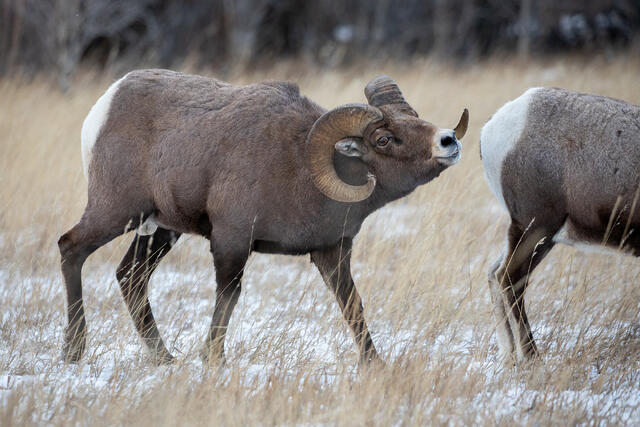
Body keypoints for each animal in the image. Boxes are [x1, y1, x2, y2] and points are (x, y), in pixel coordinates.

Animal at [58, 70, 469, 365]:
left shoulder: (332, 252)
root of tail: (103, 109)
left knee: (131, 278)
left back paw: (165, 359)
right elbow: (228, 298)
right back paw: (74, 351)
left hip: (159, 230)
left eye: (414, 117)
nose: (448, 141)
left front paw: (374, 365)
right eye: (384, 140)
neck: (299, 168)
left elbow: (352, 304)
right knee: (71, 248)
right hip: (116, 212)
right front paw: (215, 361)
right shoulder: (232, 242)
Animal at [481, 87, 640, 364]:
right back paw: (532, 359)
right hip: (535, 229)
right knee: (509, 279)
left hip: (534, 235)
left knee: (494, 273)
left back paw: (510, 357)